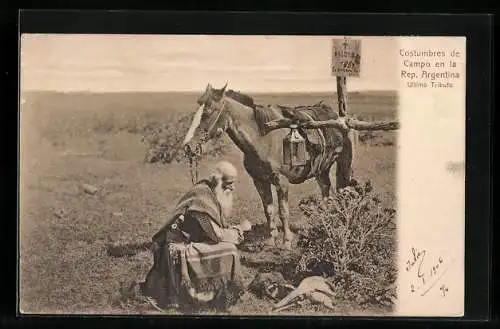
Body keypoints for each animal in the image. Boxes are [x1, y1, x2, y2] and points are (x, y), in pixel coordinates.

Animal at [182, 82, 358, 249]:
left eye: (209, 111)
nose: (188, 146)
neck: (263, 139)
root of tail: (339, 119)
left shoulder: (282, 181)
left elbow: (283, 211)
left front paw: (286, 242)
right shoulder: (260, 181)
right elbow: (269, 210)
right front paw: (271, 240)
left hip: (344, 164)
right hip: (322, 170)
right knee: (325, 190)